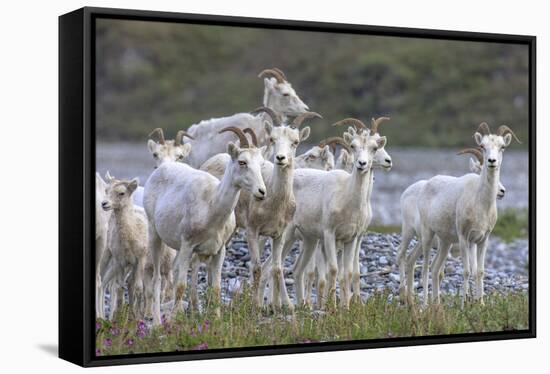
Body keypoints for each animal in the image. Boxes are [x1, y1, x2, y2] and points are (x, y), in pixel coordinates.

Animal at [144, 127, 268, 326]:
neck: (211, 206)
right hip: (155, 235)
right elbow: (181, 285)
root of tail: (161, 169)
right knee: (157, 278)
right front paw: (175, 320)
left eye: (261, 164)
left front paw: (215, 319)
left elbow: (215, 287)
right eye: (242, 162)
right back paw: (156, 322)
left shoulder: (219, 251)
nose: (261, 192)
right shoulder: (187, 246)